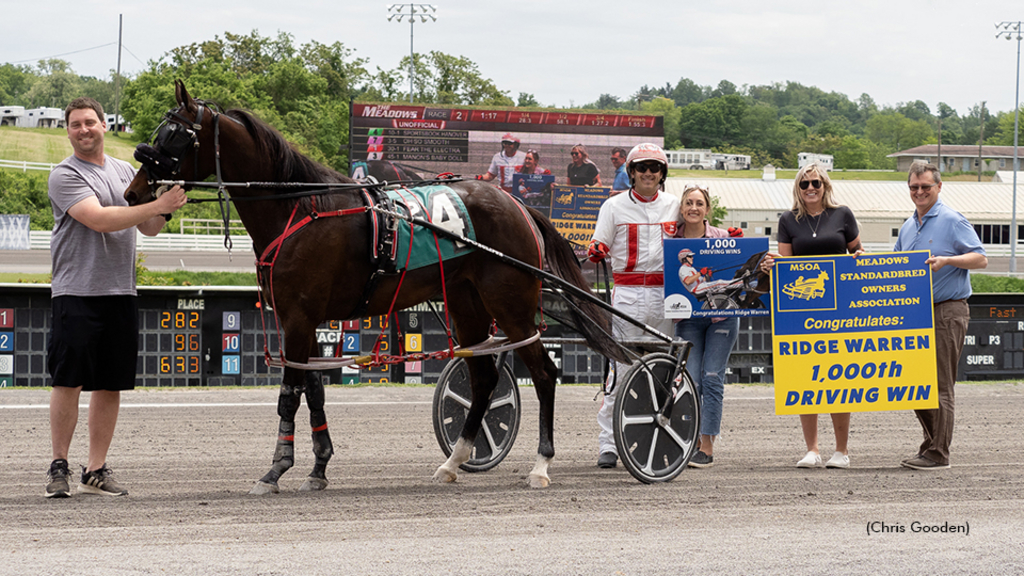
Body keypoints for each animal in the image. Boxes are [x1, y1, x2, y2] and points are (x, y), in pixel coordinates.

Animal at [128, 79, 622, 494]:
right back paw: (453, 462)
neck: (300, 207)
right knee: (483, 378)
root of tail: (517, 204)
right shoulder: (305, 318)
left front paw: (275, 470)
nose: (134, 194)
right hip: (467, 304)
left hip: (513, 304)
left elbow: (289, 395)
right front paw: (318, 468)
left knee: (543, 374)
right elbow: (314, 390)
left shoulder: (297, 316)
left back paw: (541, 465)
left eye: (174, 136)